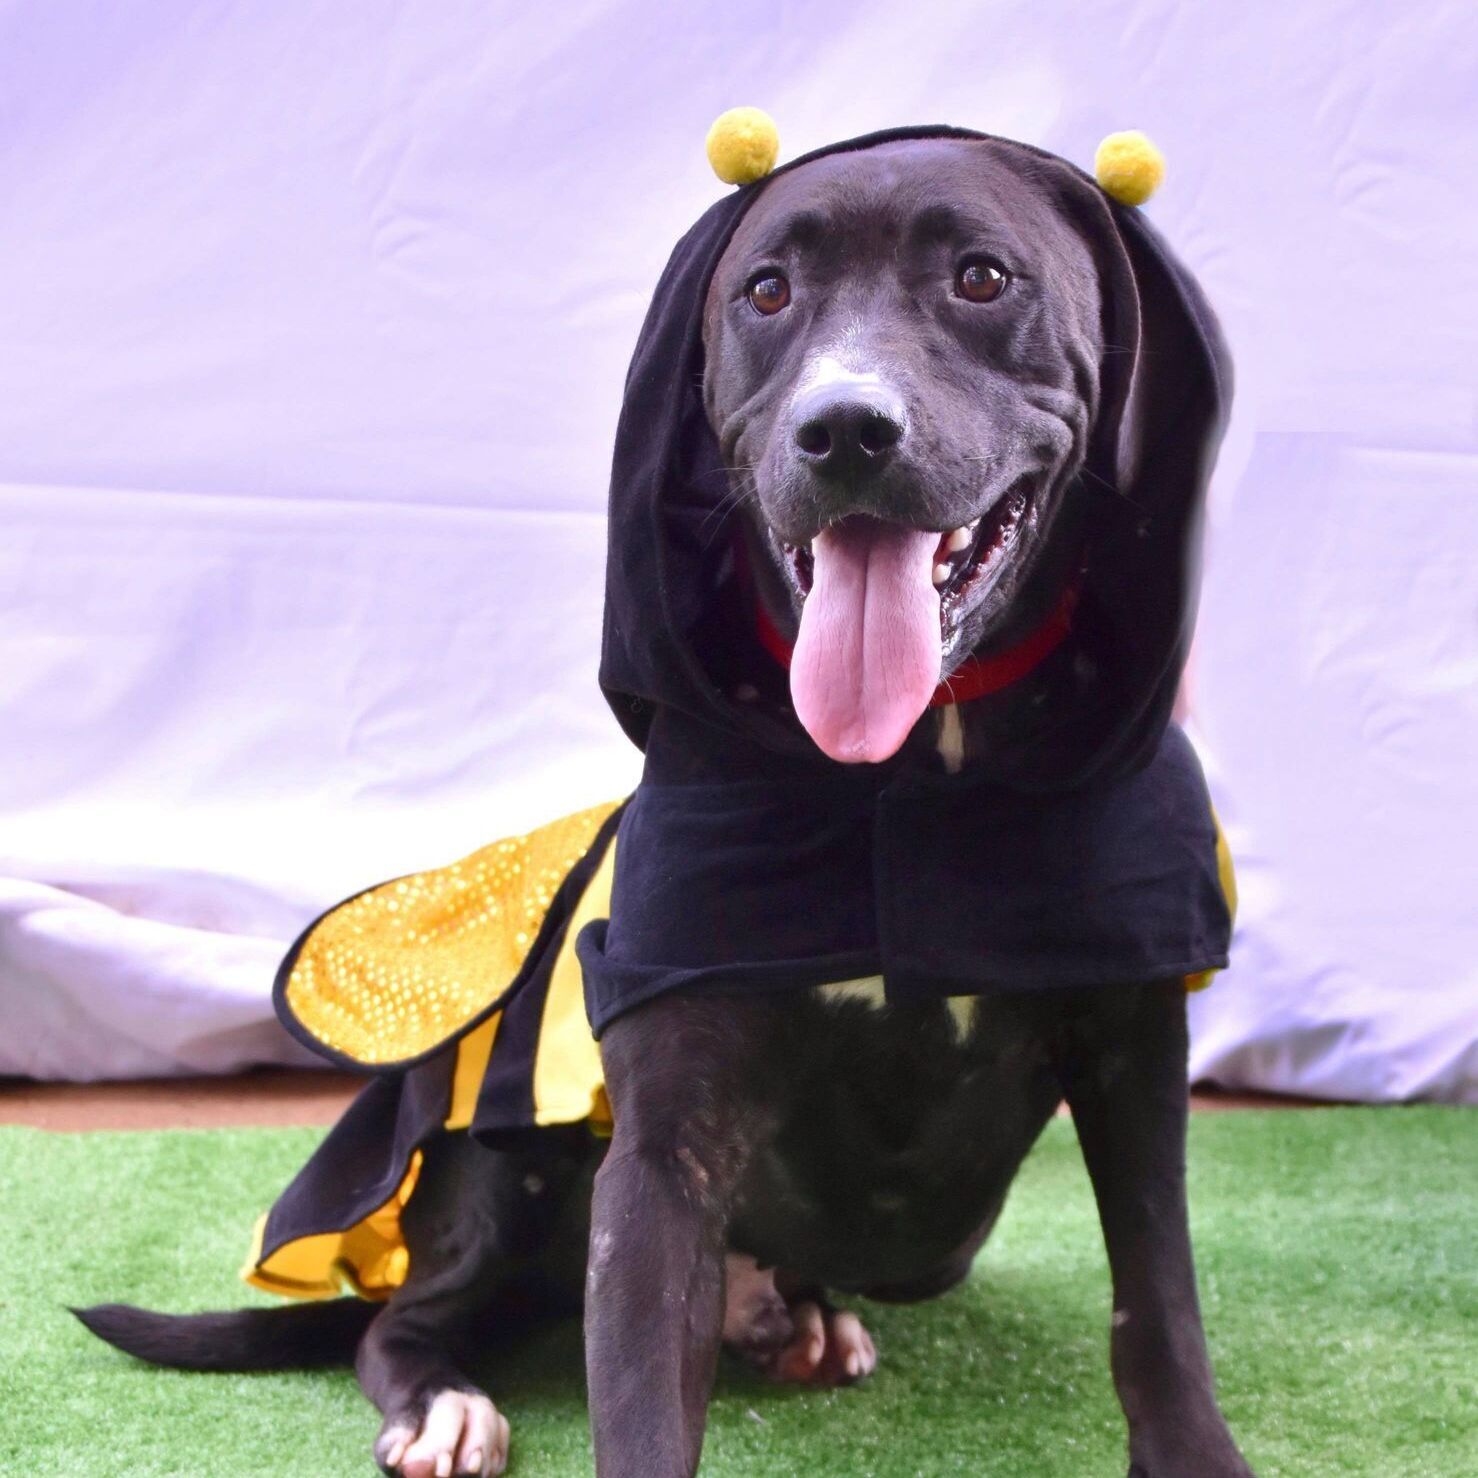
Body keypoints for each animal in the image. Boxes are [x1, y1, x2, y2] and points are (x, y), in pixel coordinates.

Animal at [80, 130, 1253, 1478]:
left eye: (979, 276)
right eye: (766, 292)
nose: (841, 429)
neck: (907, 771)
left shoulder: (1132, 1040)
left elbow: (1155, 1301)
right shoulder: (665, 1118)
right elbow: (636, 1388)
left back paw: (792, 1313)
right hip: (500, 1146)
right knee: (399, 1319)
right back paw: (445, 1401)